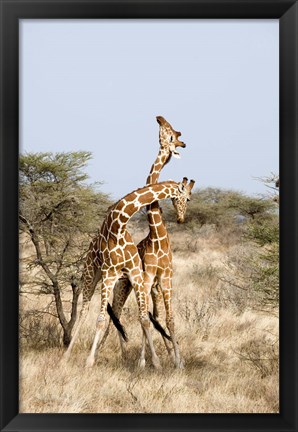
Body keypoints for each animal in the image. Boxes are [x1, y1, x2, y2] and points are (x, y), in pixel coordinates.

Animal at [63, 179, 194, 368]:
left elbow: (145, 319)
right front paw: (89, 361)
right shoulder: (109, 273)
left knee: (117, 314)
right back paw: (67, 355)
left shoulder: (136, 274)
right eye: (188, 197)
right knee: (85, 310)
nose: (181, 219)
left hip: (121, 283)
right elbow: (100, 320)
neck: (119, 226)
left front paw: (156, 362)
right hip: (91, 274)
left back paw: (124, 356)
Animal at [103, 117, 192, 368]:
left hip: (148, 287)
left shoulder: (165, 278)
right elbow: (146, 320)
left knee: (152, 316)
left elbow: (168, 319)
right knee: (118, 314)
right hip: (124, 285)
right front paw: (145, 361)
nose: (159, 117)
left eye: (172, 134)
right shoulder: (147, 277)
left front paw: (177, 361)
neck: (156, 237)